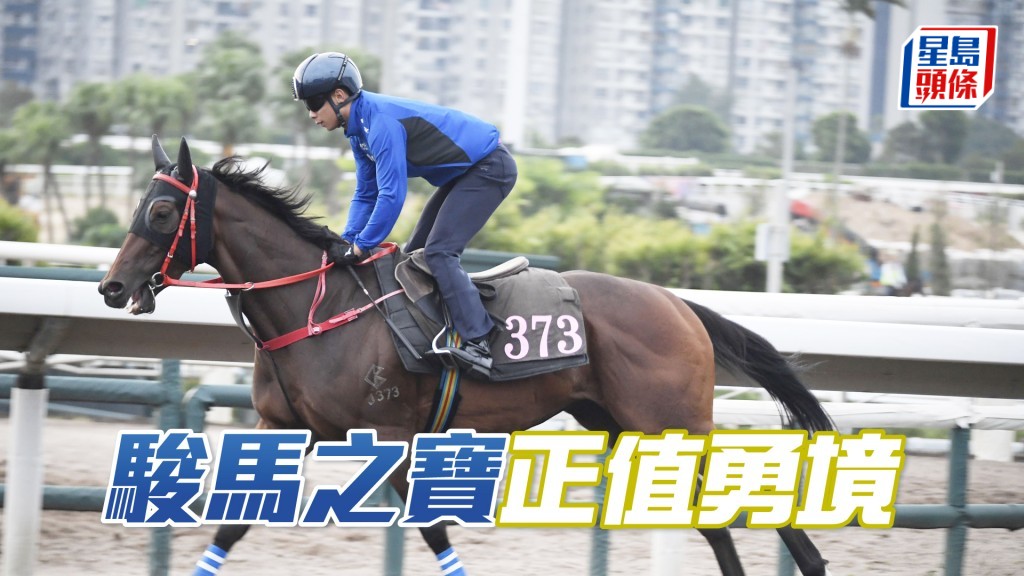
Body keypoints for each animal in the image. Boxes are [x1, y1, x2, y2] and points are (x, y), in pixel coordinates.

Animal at [99, 136, 836, 576]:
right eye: (137, 204)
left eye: (161, 212)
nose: (112, 288)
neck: (318, 310)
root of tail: (679, 305)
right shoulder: (287, 428)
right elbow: (232, 525)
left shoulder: (390, 433)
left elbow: (431, 531)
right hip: (621, 424)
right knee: (717, 519)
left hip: (669, 421)